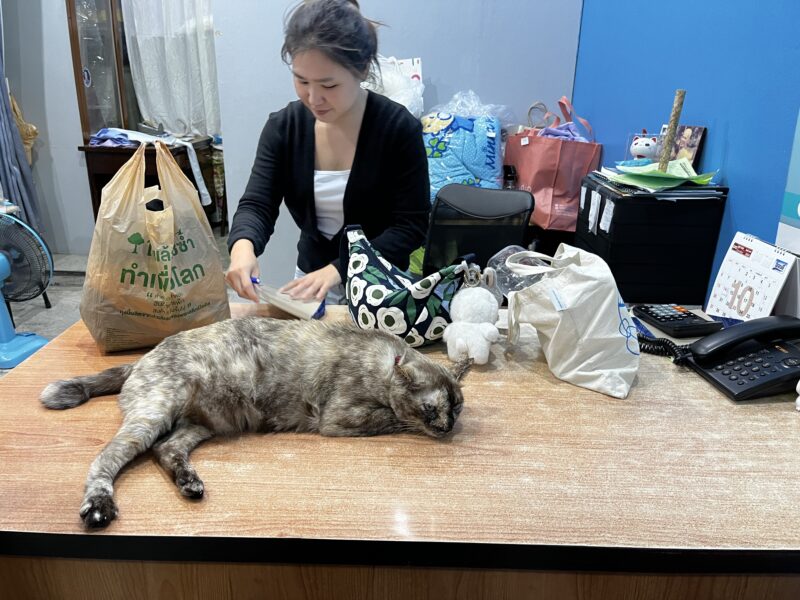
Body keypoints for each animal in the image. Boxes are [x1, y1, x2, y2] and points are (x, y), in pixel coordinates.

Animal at [42, 316, 468, 528]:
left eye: (458, 408)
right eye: (433, 410)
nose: (448, 427)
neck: (384, 360)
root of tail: (140, 359)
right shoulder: (340, 417)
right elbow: (393, 418)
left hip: (202, 424)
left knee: (166, 449)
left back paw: (189, 483)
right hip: (154, 413)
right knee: (105, 459)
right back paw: (98, 506)